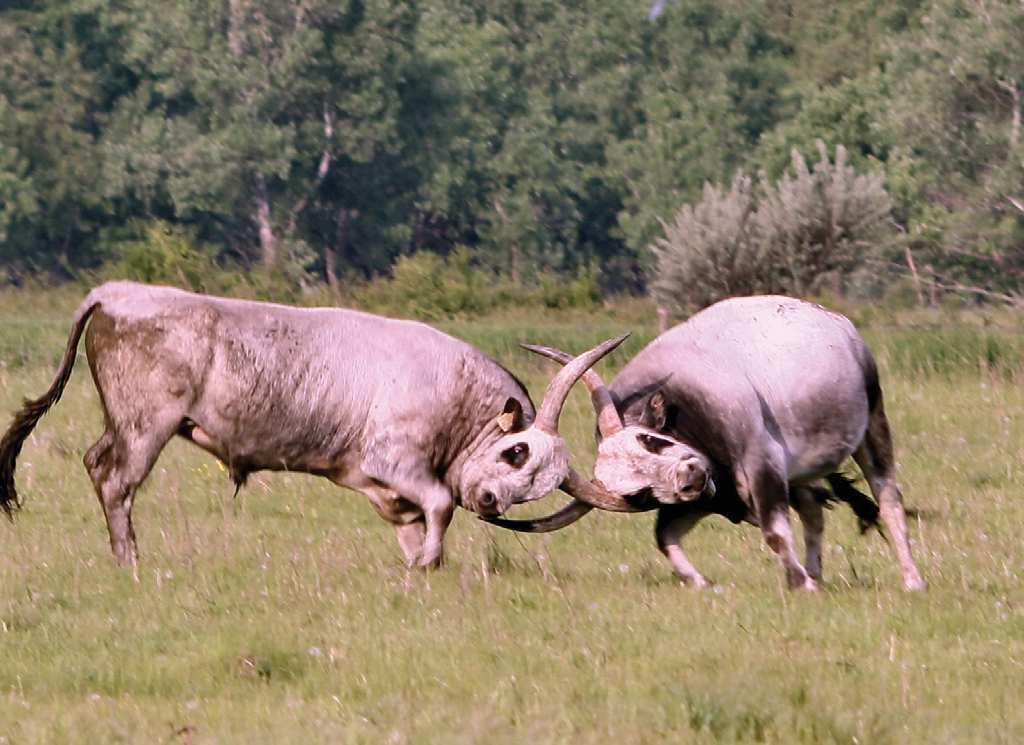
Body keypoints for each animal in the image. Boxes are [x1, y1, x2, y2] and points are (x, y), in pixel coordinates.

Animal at [0, 282, 622, 568]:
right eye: (516, 452)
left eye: (537, 489)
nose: (491, 501)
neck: (455, 392)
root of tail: (116, 292)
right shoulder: (393, 460)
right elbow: (440, 504)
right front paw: (427, 564)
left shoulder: (376, 484)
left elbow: (414, 521)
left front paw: (420, 566)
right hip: (143, 426)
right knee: (114, 479)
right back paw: (130, 561)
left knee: (97, 465)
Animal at [487, 294, 929, 589]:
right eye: (640, 493)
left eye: (651, 441)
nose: (688, 478)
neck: (689, 403)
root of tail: (837, 322)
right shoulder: (709, 499)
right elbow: (665, 537)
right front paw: (701, 583)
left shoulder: (762, 464)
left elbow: (774, 531)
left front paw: (798, 584)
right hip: (800, 472)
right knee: (813, 512)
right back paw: (817, 574)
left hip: (872, 426)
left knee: (888, 499)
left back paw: (911, 580)